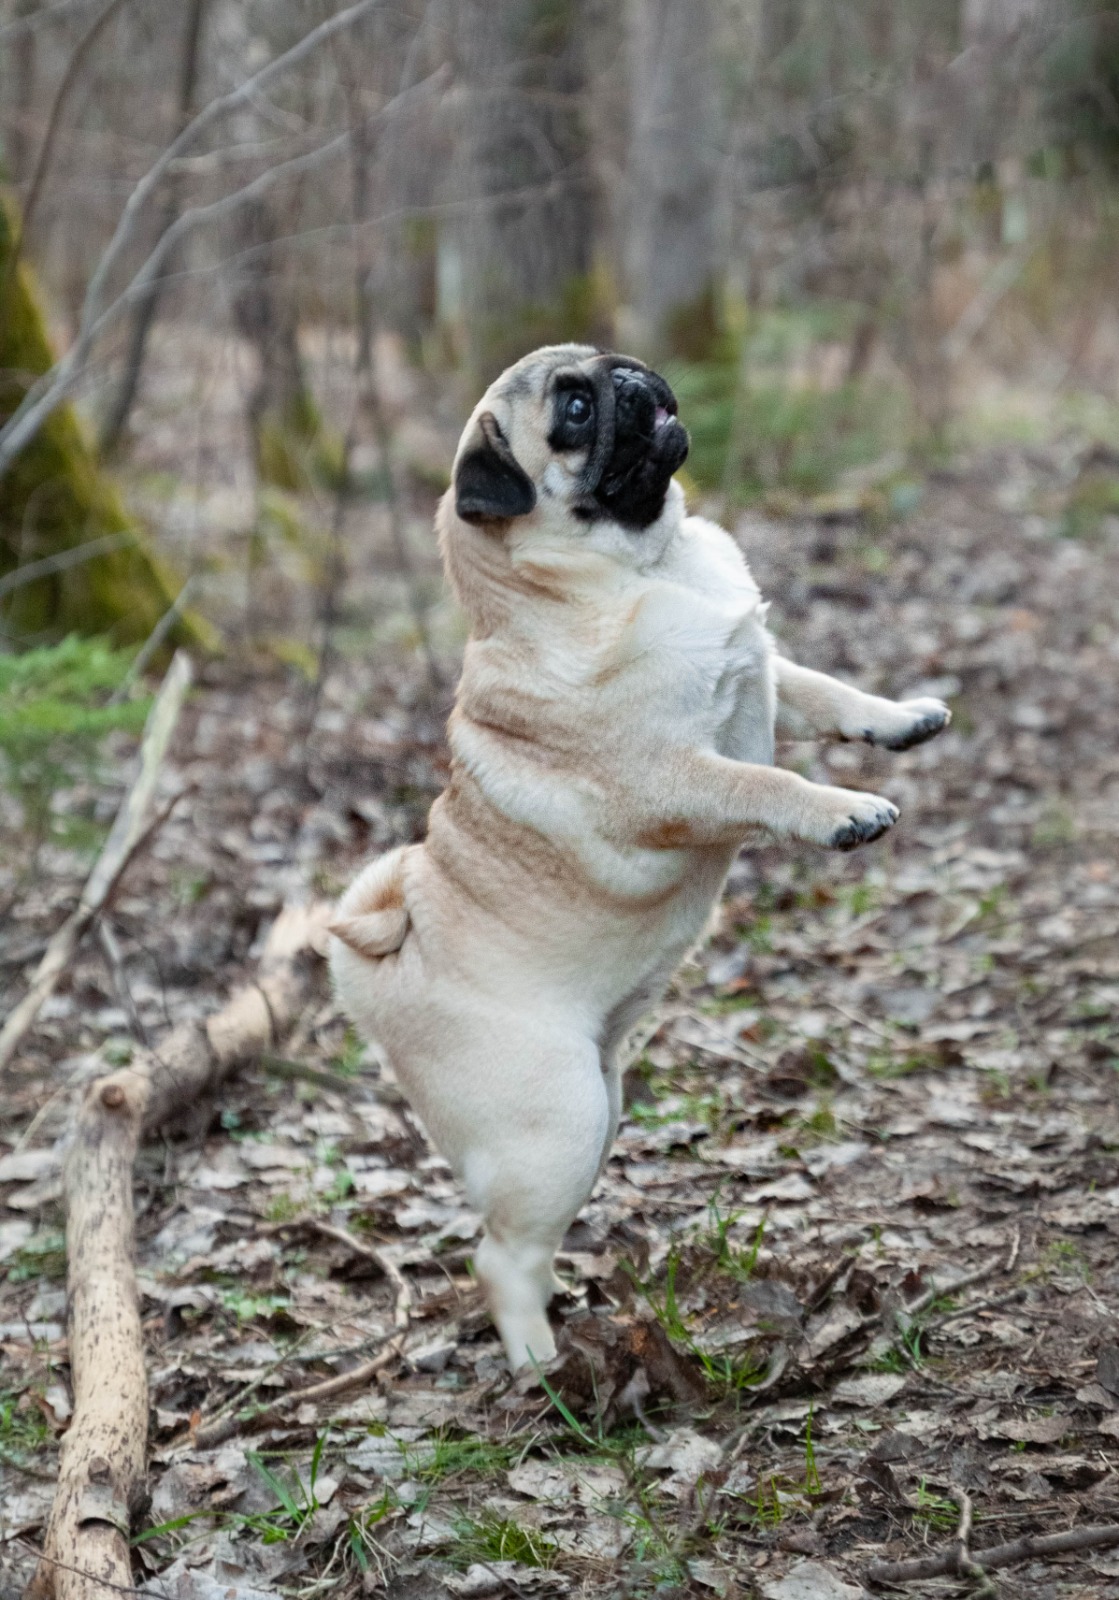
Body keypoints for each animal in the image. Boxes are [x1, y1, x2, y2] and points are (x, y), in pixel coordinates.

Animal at [330, 344, 950, 1371]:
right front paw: (841, 810)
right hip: (559, 1121)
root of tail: (380, 968)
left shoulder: (760, 669)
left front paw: (897, 718)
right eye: (575, 410)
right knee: (496, 1256)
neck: (643, 566)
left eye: (600, 368)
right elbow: (768, 784)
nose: (630, 374)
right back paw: (541, 1364)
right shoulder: (674, 780)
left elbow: (818, 687)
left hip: (600, 1108)